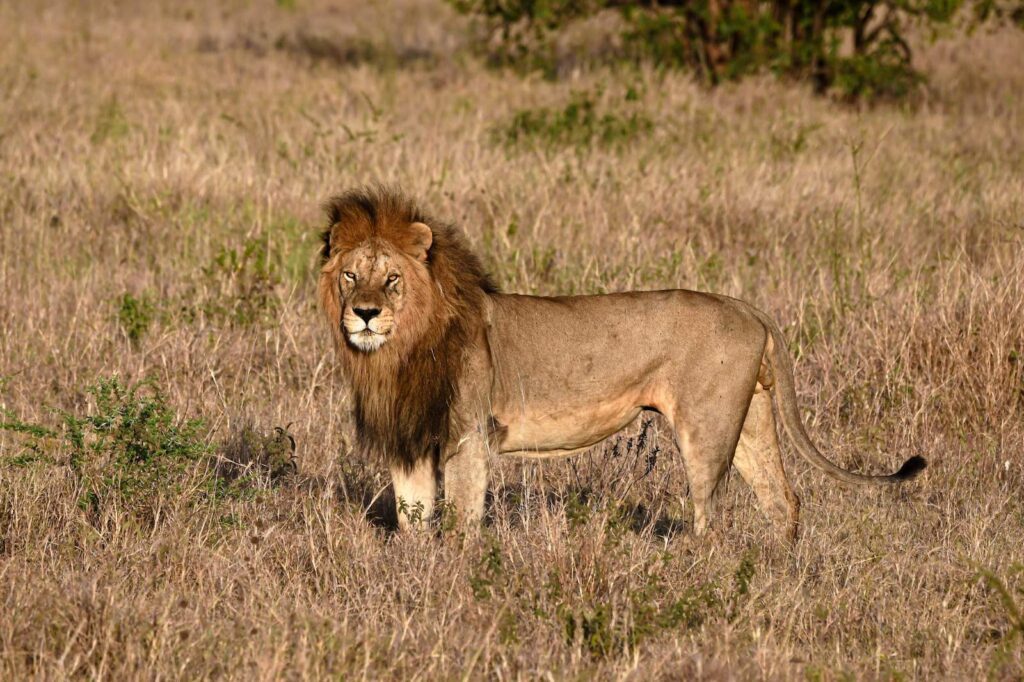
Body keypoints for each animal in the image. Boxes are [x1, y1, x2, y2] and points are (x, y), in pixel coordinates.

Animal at [318, 187, 925, 541]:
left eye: (391, 279)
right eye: (351, 275)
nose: (365, 314)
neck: (398, 354)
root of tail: (745, 305)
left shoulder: (468, 436)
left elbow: (463, 522)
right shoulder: (408, 440)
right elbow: (412, 521)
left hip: (705, 429)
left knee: (710, 518)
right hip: (750, 417)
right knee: (783, 500)